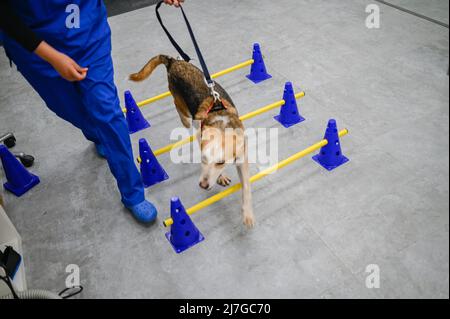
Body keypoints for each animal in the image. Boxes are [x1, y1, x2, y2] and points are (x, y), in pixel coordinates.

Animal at [130, 56, 256, 229]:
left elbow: (247, 189)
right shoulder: (200, 134)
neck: (221, 123)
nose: (203, 185)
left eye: (221, 162)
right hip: (181, 104)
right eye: (203, 159)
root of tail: (173, 61)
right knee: (179, 109)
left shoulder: (242, 159)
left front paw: (248, 214)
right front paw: (221, 176)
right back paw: (184, 119)